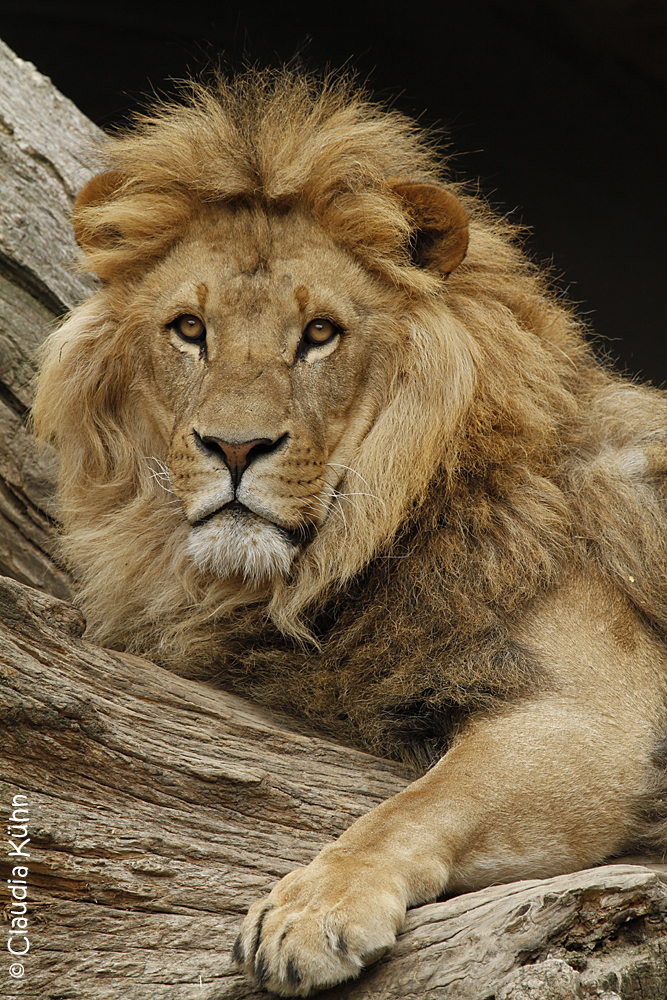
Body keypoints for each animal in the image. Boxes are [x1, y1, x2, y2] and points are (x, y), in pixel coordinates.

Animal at [31, 68, 667, 992]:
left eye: (319, 335)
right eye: (189, 330)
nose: (234, 448)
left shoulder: (594, 716)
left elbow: (417, 804)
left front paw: (312, 910)